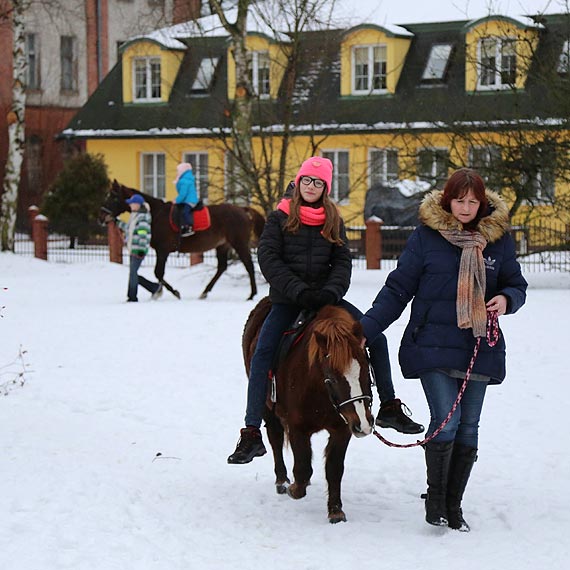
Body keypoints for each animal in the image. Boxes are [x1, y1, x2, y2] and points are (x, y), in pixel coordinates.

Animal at [100, 180, 264, 300]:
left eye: (114, 197)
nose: (101, 217)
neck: (155, 214)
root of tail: (243, 210)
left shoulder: (163, 250)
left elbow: (158, 272)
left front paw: (172, 292)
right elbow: (155, 273)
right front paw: (159, 291)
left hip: (239, 243)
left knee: (249, 266)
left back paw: (252, 294)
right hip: (223, 245)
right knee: (222, 267)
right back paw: (205, 292)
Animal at [242, 296, 374, 520]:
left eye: (366, 369)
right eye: (332, 376)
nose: (363, 425)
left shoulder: (342, 428)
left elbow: (334, 469)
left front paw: (335, 511)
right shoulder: (298, 427)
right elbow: (303, 470)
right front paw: (294, 489)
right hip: (267, 408)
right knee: (275, 439)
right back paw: (281, 480)